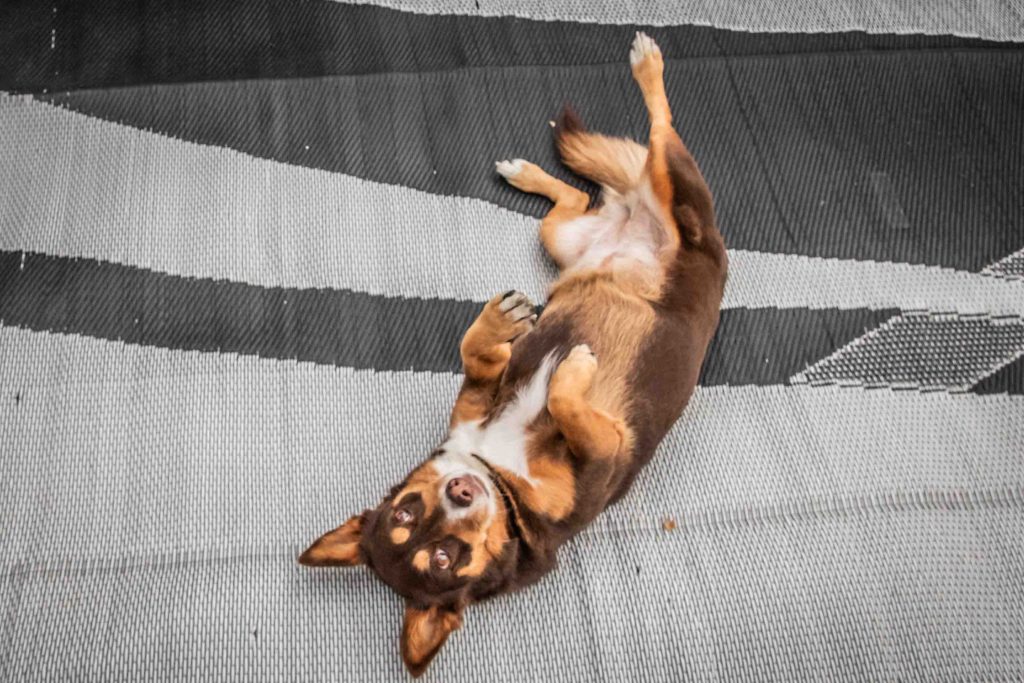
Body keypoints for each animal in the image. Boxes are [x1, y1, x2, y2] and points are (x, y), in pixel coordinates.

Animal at [299, 32, 727, 676]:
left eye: (404, 512)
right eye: (441, 556)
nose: (460, 492)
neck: (500, 477)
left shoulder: (492, 404)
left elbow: (476, 352)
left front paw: (505, 326)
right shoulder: (601, 451)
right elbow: (563, 398)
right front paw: (573, 368)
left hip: (643, 209)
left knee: (652, 136)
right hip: (600, 226)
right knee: (622, 162)